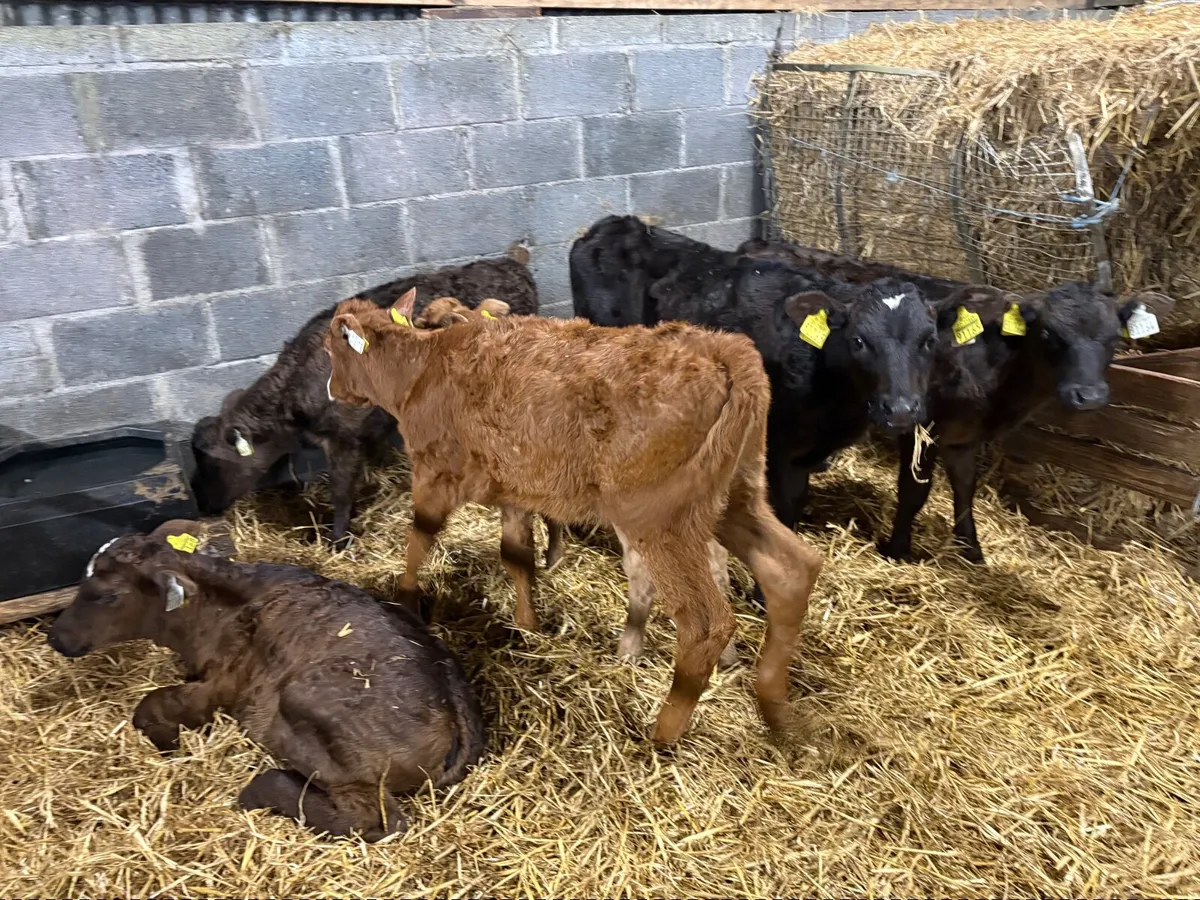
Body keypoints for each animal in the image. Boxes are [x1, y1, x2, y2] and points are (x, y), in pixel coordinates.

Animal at [46, 519, 485, 842]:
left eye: (108, 595)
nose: (56, 637)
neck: (217, 608)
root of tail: (457, 716)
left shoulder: (222, 685)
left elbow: (151, 707)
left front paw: (172, 746)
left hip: (306, 706)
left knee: (377, 821)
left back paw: (261, 789)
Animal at [191, 245, 540, 550]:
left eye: (216, 462)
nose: (204, 505)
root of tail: (511, 263)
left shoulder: (344, 439)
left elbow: (341, 492)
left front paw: (338, 539)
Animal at [323, 288, 824, 744]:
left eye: (331, 349)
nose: (331, 391)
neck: (420, 369)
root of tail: (725, 350)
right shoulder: (514, 485)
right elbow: (516, 556)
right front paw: (528, 625)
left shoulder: (434, 471)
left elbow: (418, 540)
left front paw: (406, 605)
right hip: (735, 495)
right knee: (792, 570)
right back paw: (776, 712)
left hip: (661, 518)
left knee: (704, 623)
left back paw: (661, 737)